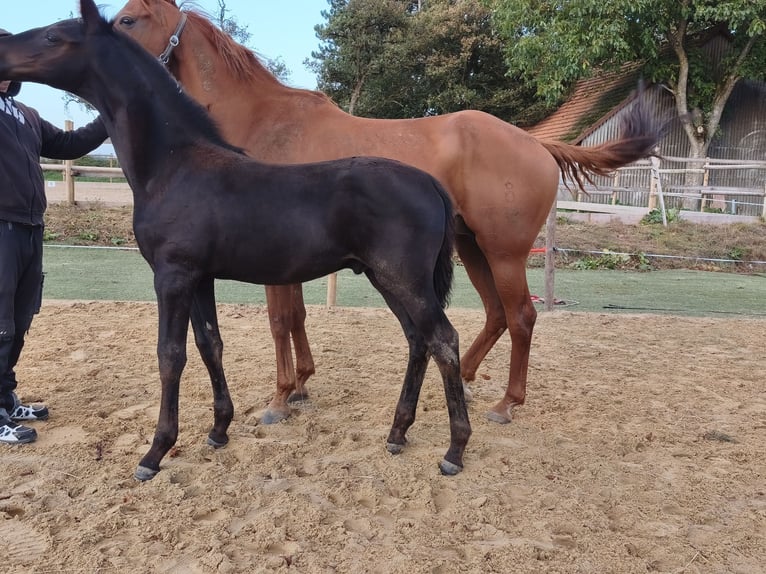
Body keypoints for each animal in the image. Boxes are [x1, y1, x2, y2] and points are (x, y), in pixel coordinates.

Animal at [0, 0, 471, 480]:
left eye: (54, 37)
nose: (1, 53)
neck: (174, 166)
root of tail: (431, 184)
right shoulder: (200, 278)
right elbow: (210, 344)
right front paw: (219, 430)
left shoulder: (172, 276)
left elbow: (170, 355)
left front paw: (155, 452)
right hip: (386, 278)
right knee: (418, 341)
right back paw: (397, 433)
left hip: (404, 280)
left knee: (444, 340)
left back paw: (454, 451)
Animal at [113, 0, 665, 426]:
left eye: (128, 19)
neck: (265, 121)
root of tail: (536, 142)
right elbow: (296, 317)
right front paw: (302, 386)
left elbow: (279, 319)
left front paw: (280, 397)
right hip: (471, 247)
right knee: (494, 315)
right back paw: (465, 380)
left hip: (504, 252)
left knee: (522, 317)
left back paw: (507, 404)